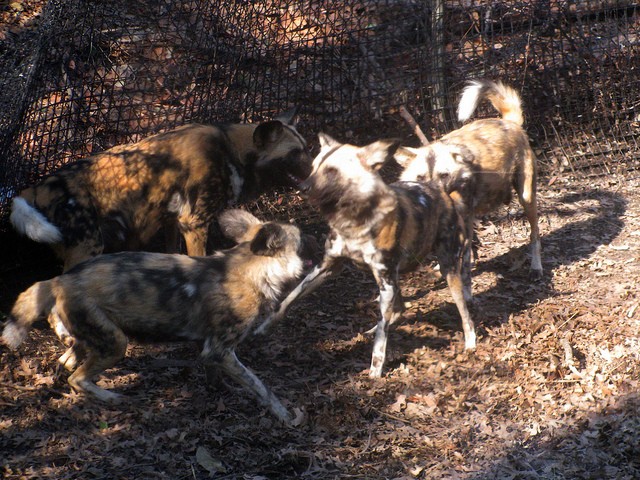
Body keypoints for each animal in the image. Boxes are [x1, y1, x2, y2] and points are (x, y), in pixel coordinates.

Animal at [9, 110, 310, 272]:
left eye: (306, 148)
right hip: (88, 247)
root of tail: (34, 188)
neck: (232, 152)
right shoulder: (195, 223)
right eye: (294, 154)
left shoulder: (173, 219)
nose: (315, 166)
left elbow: (172, 252)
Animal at [255, 133, 476, 376]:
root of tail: (440, 191)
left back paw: (470, 343)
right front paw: (263, 327)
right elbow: (288, 299)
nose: (302, 186)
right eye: (314, 168)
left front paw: (375, 372)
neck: (352, 222)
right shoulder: (326, 267)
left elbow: (381, 339)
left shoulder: (385, 282)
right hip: (391, 280)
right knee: (398, 309)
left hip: (444, 271)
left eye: (332, 171)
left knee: (464, 313)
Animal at [396, 79, 540, 278]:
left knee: (535, 234)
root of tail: (509, 123)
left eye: (444, 175)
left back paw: (536, 266)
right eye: (421, 176)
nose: (434, 198)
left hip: (526, 198)